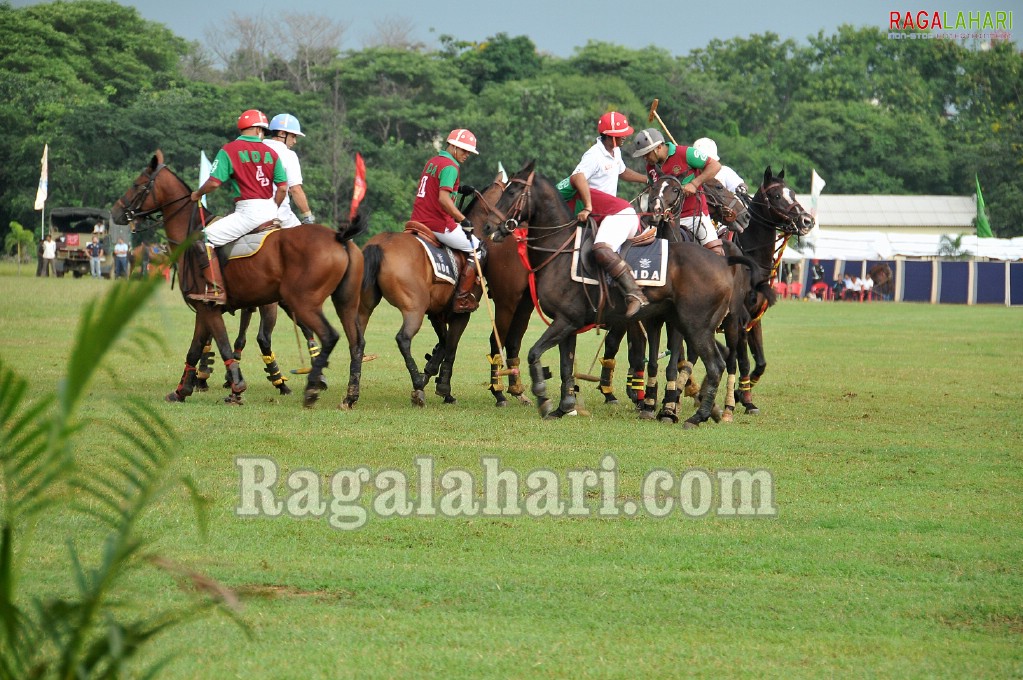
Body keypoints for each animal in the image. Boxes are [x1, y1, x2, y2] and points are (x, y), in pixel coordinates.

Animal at [112, 150, 366, 404]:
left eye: (137, 184)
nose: (116, 212)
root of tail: (339, 237)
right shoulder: (204, 307)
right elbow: (195, 349)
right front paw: (182, 390)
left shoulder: (209, 307)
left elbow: (222, 343)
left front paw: (236, 388)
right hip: (344, 301)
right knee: (356, 342)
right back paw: (349, 395)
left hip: (302, 301)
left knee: (328, 336)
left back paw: (312, 387)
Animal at [482, 160, 748, 425]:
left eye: (512, 192)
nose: (487, 226)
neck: (560, 250)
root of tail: (723, 262)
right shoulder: (569, 323)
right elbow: (565, 365)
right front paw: (564, 406)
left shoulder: (566, 321)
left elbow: (534, 353)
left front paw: (543, 398)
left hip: (696, 325)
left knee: (716, 363)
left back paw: (698, 415)